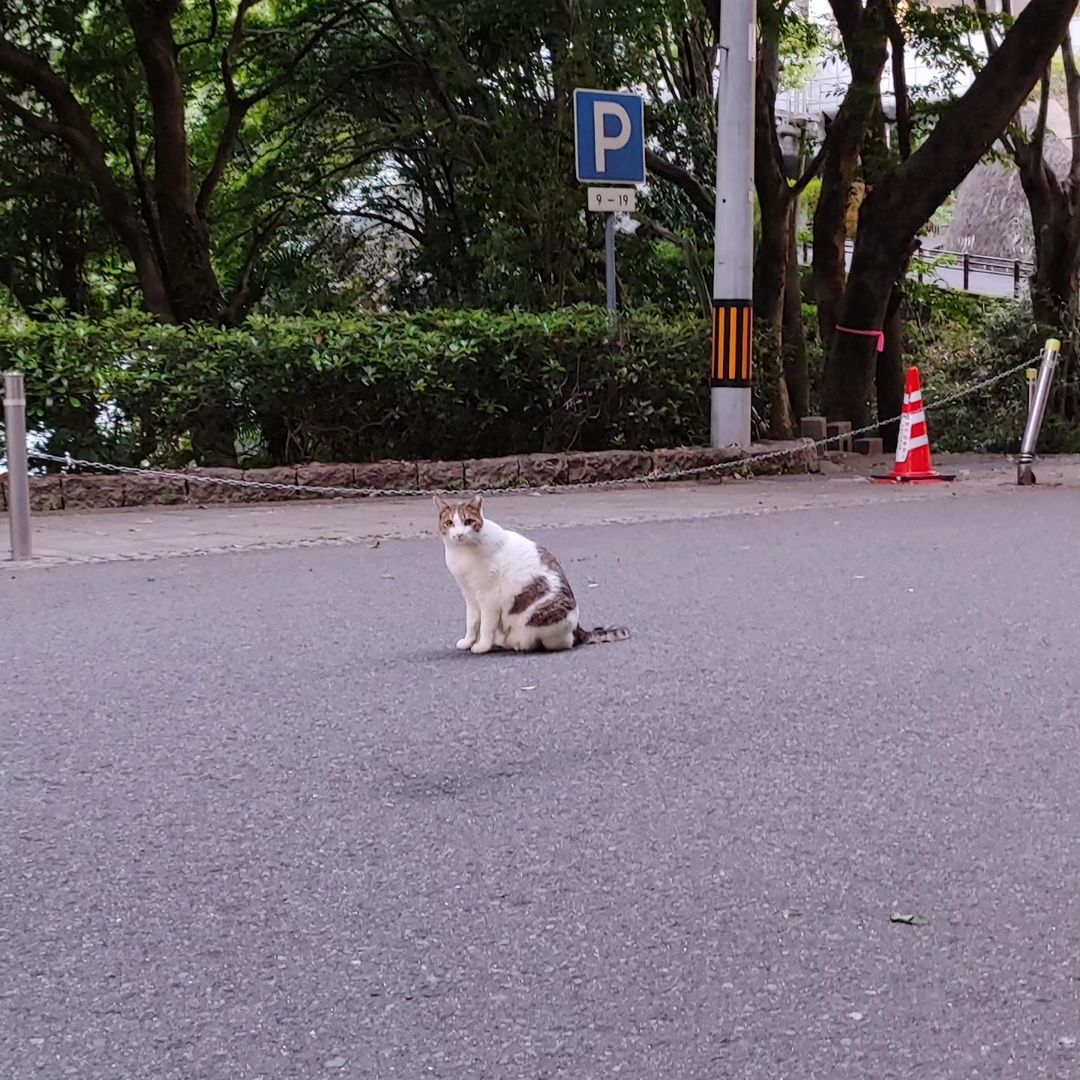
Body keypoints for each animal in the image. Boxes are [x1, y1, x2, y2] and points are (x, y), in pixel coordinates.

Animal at [432, 494, 630, 652]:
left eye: (468, 522)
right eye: (450, 523)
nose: (459, 535)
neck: (462, 554)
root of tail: (578, 628)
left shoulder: (489, 599)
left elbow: (486, 626)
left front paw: (482, 646)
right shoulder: (470, 595)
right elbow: (472, 623)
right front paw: (468, 642)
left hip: (542, 616)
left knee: (561, 643)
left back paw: (517, 643)